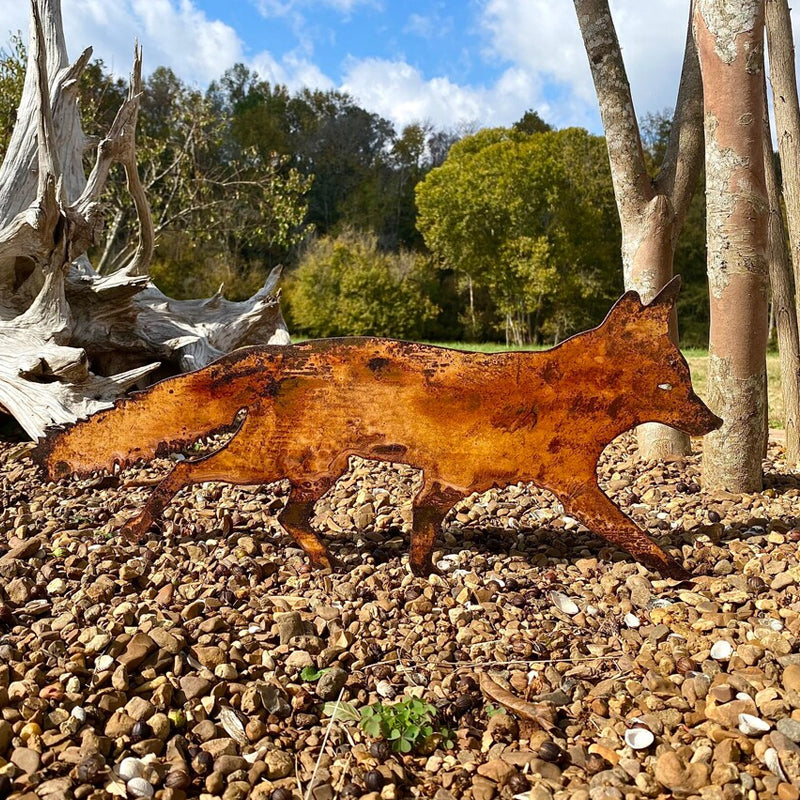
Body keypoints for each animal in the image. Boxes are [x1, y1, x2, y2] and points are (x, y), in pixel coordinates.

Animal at [33, 276, 721, 582]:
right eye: (678, 382)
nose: (714, 420)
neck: (565, 391)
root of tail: (274, 355)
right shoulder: (572, 486)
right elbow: (629, 531)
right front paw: (674, 568)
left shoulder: (446, 482)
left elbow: (421, 522)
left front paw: (420, 572)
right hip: (286, 466)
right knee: (191, 472)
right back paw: (147, 527)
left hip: (305, 469)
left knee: (268, 508)